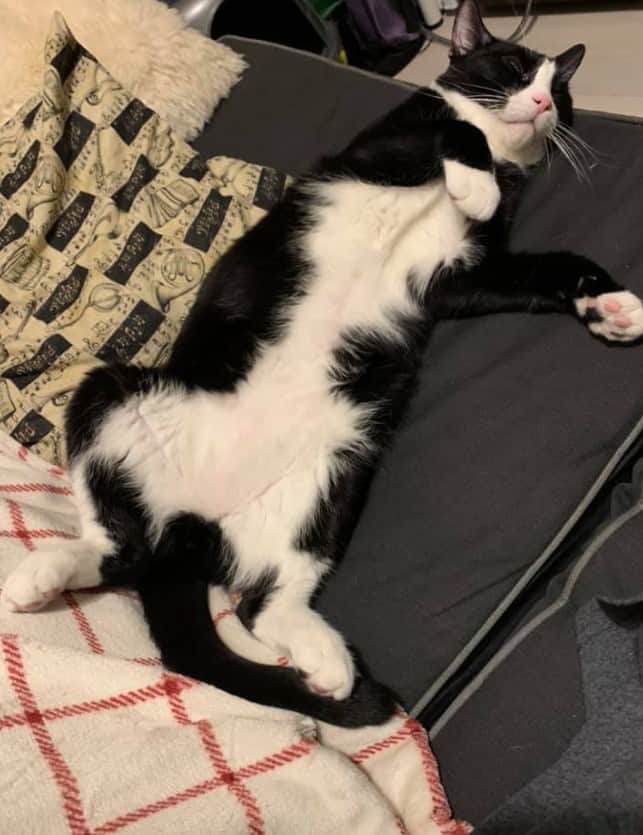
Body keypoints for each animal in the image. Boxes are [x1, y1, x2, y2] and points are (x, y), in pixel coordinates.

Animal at [2, 0, 640, 728]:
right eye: (509, 67)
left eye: (560, 92)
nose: (539, 103)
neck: (501, 155)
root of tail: (190, 529)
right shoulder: (386, 144)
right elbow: (453, 126)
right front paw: (474, 180)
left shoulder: (456, 278)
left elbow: (549, 265)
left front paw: (611, 305)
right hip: (107, 389)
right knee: (113, 542)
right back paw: (40, 575)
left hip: (333, 477)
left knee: (254, 601)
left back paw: (328, 664)